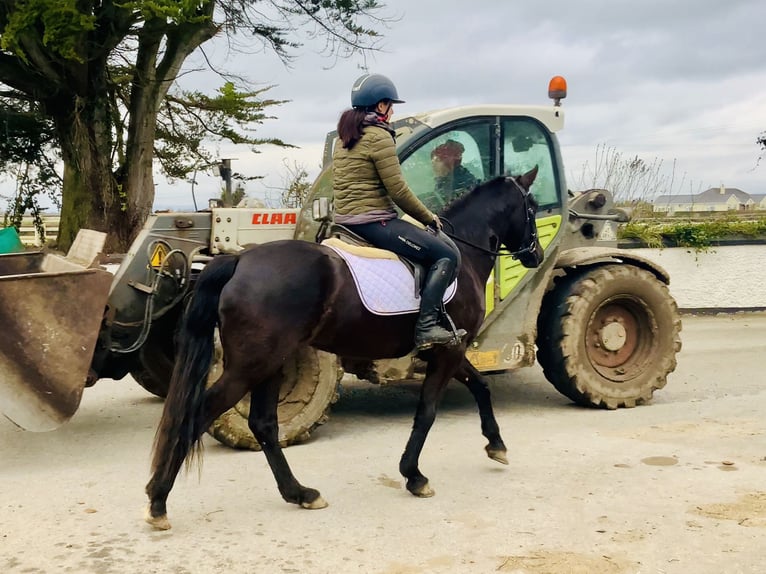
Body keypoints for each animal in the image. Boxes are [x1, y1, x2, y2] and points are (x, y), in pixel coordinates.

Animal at [146, 166, 544, 532]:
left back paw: (300, 493)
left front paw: (496, 445)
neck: (461, 253)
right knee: (199, 415)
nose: (536, 255)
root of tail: (241, 259)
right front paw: (414, 476)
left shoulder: (449, 350)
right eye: (532, 207)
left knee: (263, 424)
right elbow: (428, 412)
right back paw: (158, 501)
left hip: (272, 363)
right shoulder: (448, 353)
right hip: (250, 366)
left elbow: (481, 386)